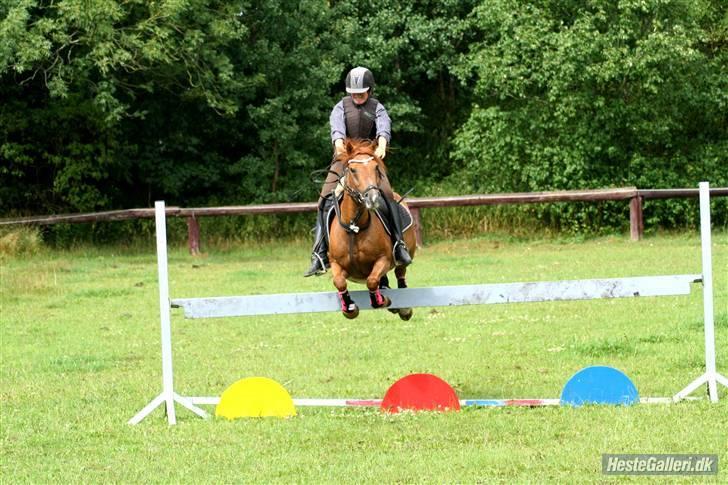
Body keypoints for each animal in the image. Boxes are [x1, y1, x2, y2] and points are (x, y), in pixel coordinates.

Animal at [328, 138, 416, 320]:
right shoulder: (337, 264)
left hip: (406, 254)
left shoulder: (384, 260)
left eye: (376, 167)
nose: (373, 198)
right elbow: (339, 282)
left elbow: (371, 281)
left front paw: (382, 301)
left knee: (400, 273)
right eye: (353, 170)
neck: (354, 227)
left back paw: (403, 308)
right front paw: (349, 307)